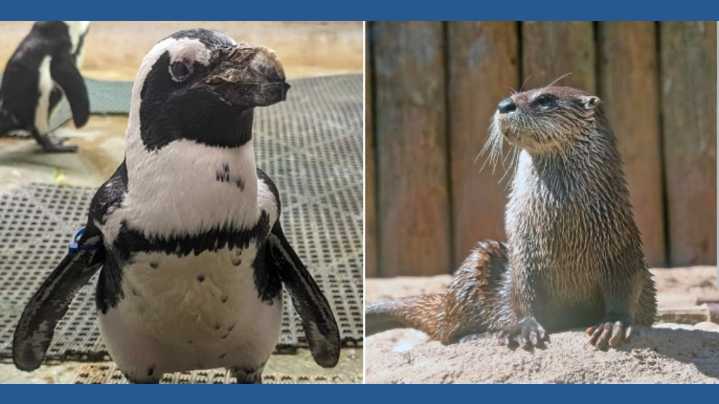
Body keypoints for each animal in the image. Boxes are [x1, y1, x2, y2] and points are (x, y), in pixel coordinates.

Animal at [366, 86, 657, 350]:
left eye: (545, 99)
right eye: (517, 93)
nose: (504, 104)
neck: (563, 234)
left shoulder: (621, 247)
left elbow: (625, 289)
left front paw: (612, 324)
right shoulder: (522, 252)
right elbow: (523, 293)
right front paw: (523, 328)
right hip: (477, 261)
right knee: (445, 329)